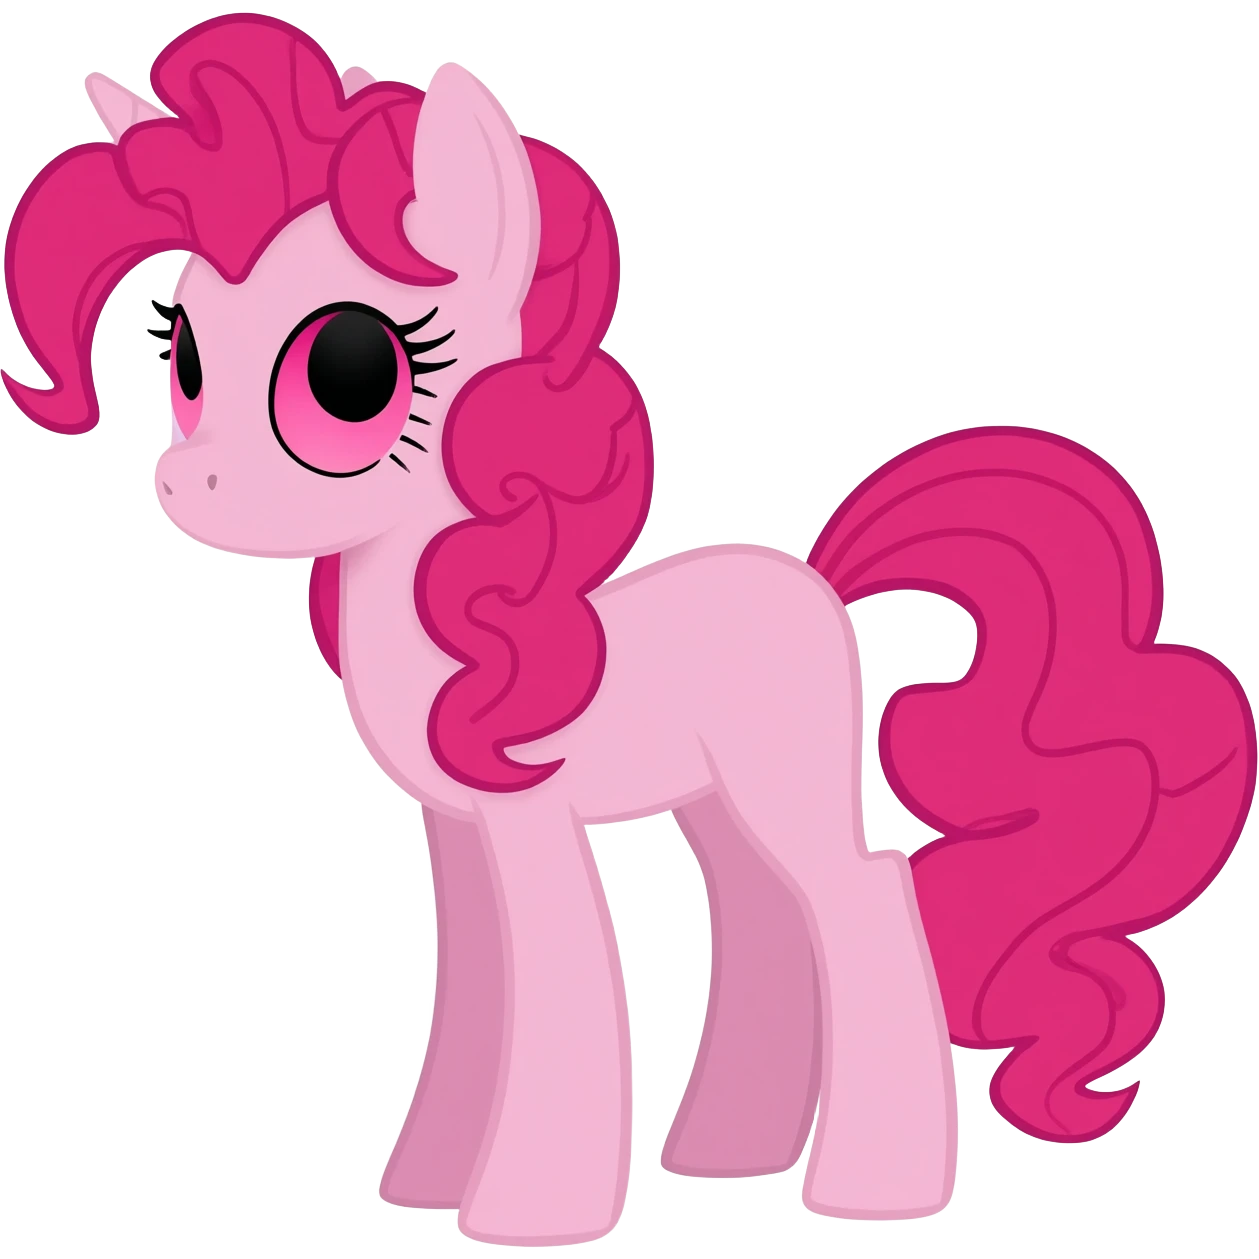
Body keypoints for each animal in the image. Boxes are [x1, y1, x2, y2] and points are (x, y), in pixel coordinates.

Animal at [3, 14, 1254, 1245]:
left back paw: (874, 1189)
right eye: (183, 355)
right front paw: (429, 1176)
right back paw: (728, 1151)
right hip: (718, 802)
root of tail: (818, 584)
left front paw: (530, 1209)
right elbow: (478, 989)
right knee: (762, 916)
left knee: (859, 901)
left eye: (348, 372)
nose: (191, 483)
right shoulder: (457, 831)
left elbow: (558, 977)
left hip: (783, 786)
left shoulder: (526, 813)